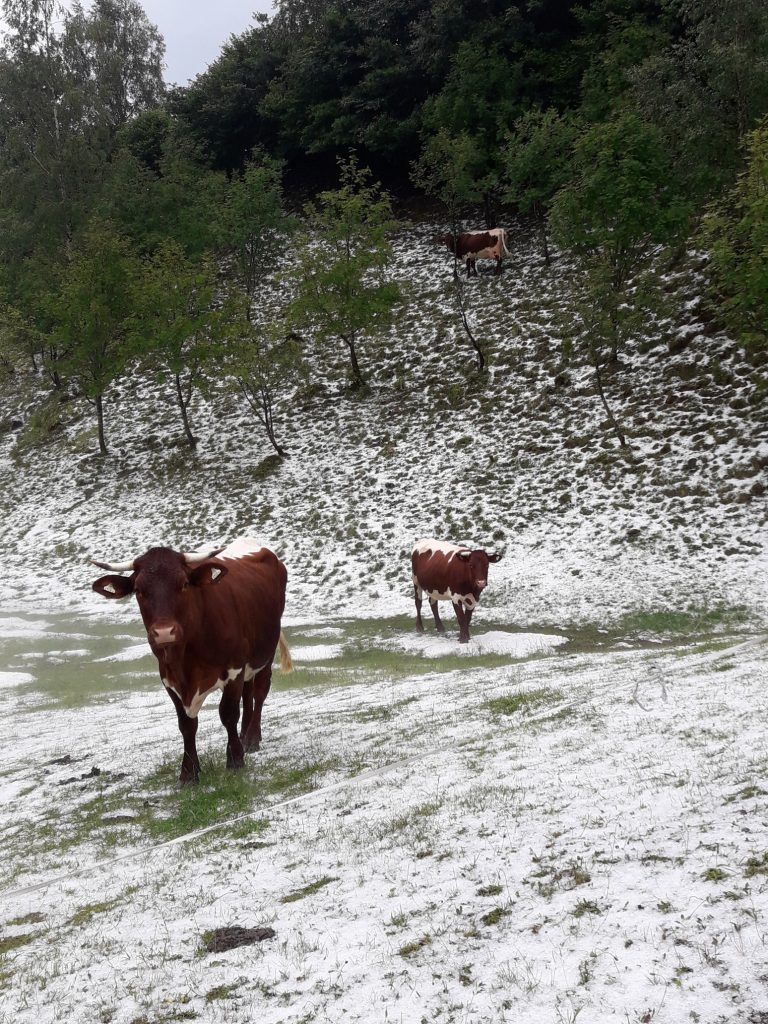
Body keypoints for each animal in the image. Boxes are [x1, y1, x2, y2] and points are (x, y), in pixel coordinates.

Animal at [90, 536, 292, 782]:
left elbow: (228, 714)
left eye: (184, 584)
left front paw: (235, 760)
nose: (164, 632)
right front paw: (188, 773)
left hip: (265, 653)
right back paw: (245, 736)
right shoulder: (169, 678)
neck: (187, 658)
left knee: (259, 692)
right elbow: (186, 724)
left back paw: (252, 738)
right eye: (138, 590)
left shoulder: (233, 669)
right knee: (248, 692)